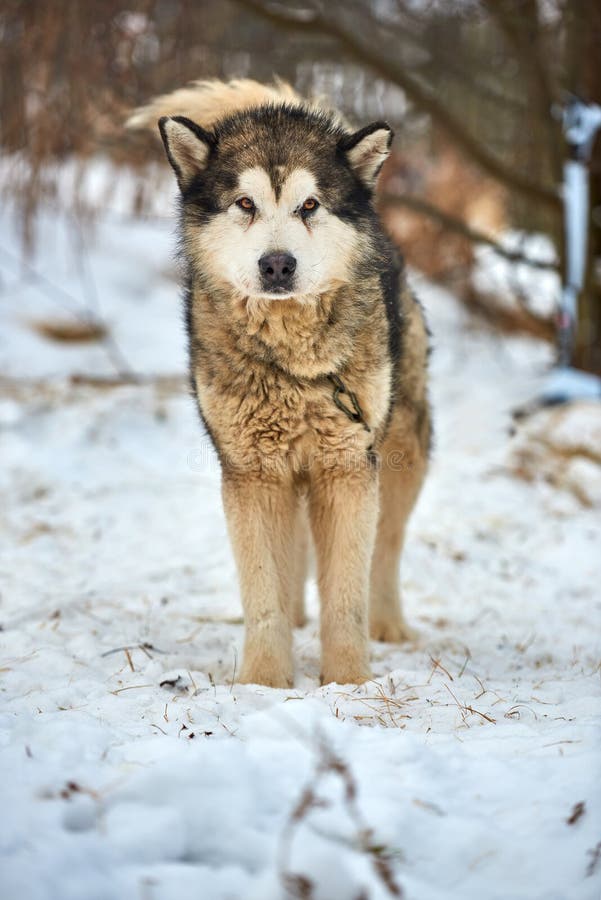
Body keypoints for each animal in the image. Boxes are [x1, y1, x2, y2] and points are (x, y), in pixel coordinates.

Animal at [126, 81, 428, 684]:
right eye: (246, 204)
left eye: (308, 205)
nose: (277, 265)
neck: (295, 367)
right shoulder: (254, 475)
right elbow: (263, 591)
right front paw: (264, 683)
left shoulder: (348, 469)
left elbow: (346, 596)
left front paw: (348, 683)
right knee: (295, 559)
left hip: (403, 456)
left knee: (386, 549)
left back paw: (388, 625)